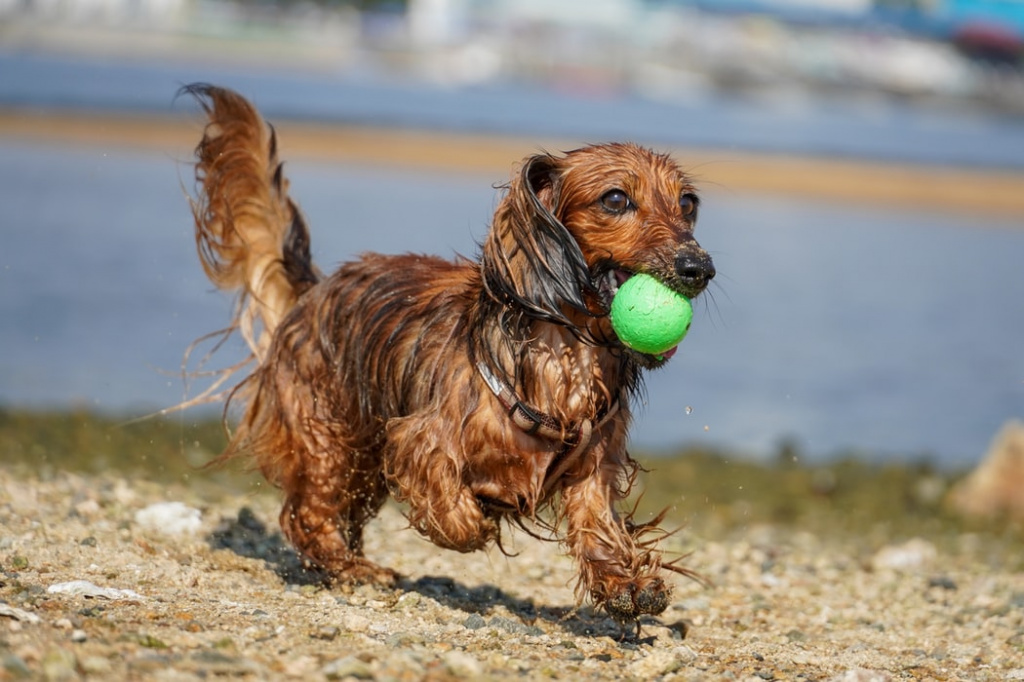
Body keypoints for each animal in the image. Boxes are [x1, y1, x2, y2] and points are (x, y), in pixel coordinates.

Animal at [182, 83, 712, 622]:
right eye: (616, 199)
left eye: (688, 204)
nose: (699, 268)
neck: (565, 352)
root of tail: (313, 291)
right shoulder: (418, 437)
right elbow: (450, 501)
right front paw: (478, 516)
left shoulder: (594, 466)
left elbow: (597, 521)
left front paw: (623, 581)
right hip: (329, 438)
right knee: (308, 513)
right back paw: (350, 568)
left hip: (361, 464)